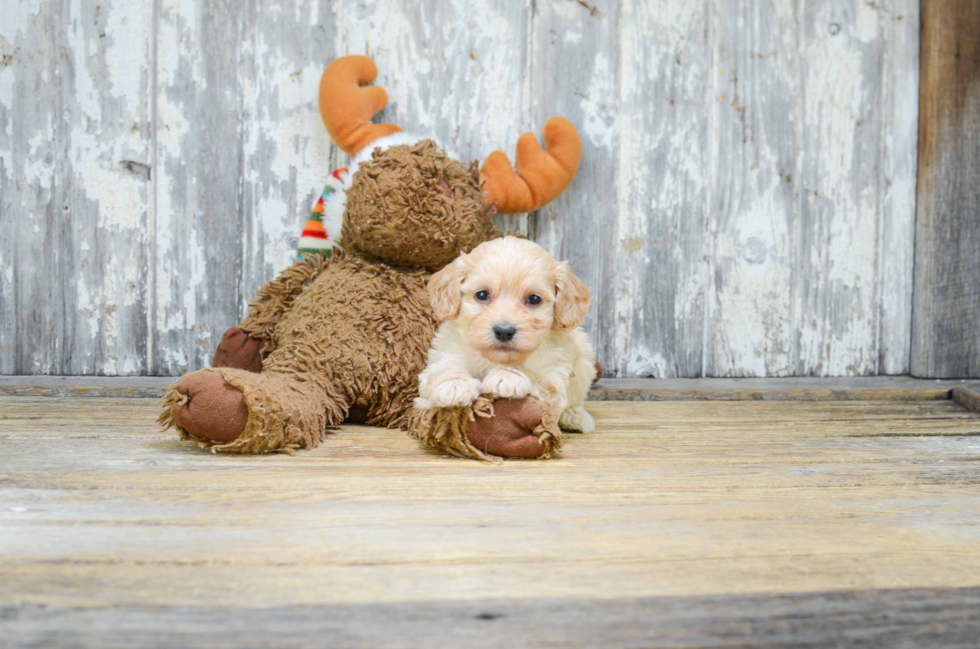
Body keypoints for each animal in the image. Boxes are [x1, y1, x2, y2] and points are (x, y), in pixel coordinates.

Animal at [416, 235, 596, 432]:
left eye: (534, 299)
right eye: (482, 295)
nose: (503, 331)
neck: (494, 359)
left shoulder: (553, 377)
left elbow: (537, 378)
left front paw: (509, 375)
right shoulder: (444, 355)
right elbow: (441, 370)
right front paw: (454, 384)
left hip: (585, 361)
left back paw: (575, 416)